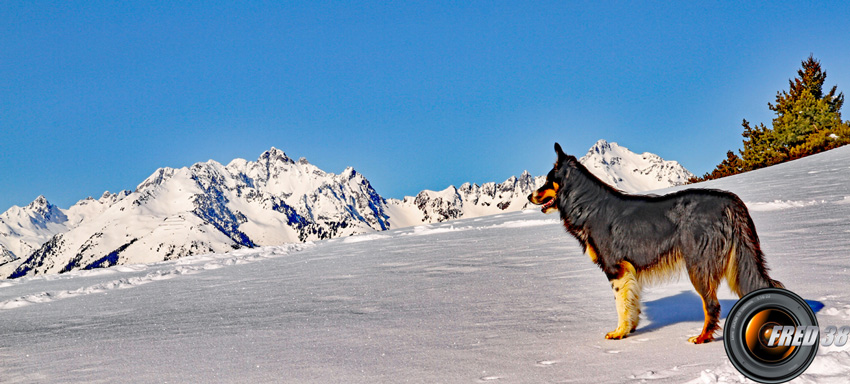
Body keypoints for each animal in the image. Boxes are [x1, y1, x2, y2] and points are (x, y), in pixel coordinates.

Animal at [528, 142, 780, 344]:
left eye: (547, 181)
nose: (530, 196)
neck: (586, 205)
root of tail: (730, 201)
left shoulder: (615, 268)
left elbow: (620, 305)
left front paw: (619, 333)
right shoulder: (629, 271)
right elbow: (632, 303)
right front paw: (630, 329)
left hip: (698, 265)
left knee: (712, 305)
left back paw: (702, 338)